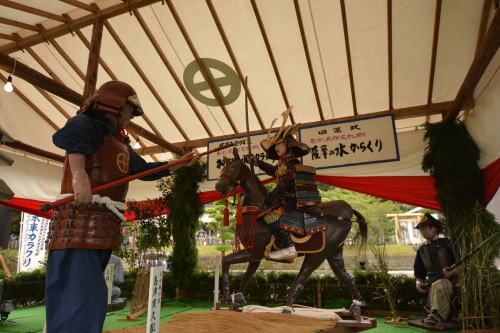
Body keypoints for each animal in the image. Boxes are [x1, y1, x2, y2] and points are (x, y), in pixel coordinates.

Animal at [215, 149, 368, 312]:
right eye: (222, 168)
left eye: (232, 168)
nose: (218, 187)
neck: (257, 210)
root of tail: (346, 213)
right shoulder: (256, 256)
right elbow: (246, 277)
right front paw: (237, 300)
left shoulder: (255, 251)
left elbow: (226, 260)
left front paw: (227, 296)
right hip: (334, 253)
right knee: (345, 275)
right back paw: (357, 305)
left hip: (317, 255)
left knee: (301, 280)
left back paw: (288, 307)